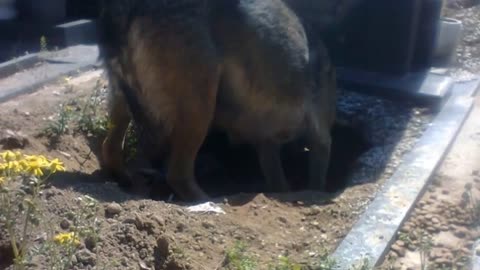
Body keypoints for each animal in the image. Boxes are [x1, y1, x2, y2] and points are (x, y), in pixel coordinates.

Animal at [97, 0, 338, 202]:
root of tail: (133, 6)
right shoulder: (319, 137)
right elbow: (316, 179)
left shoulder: (267, 144)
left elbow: (279, 180)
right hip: (201, 104)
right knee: (178, 174)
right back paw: (206, 201)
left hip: (122, 98)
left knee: (110, 146)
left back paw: (121, 177)